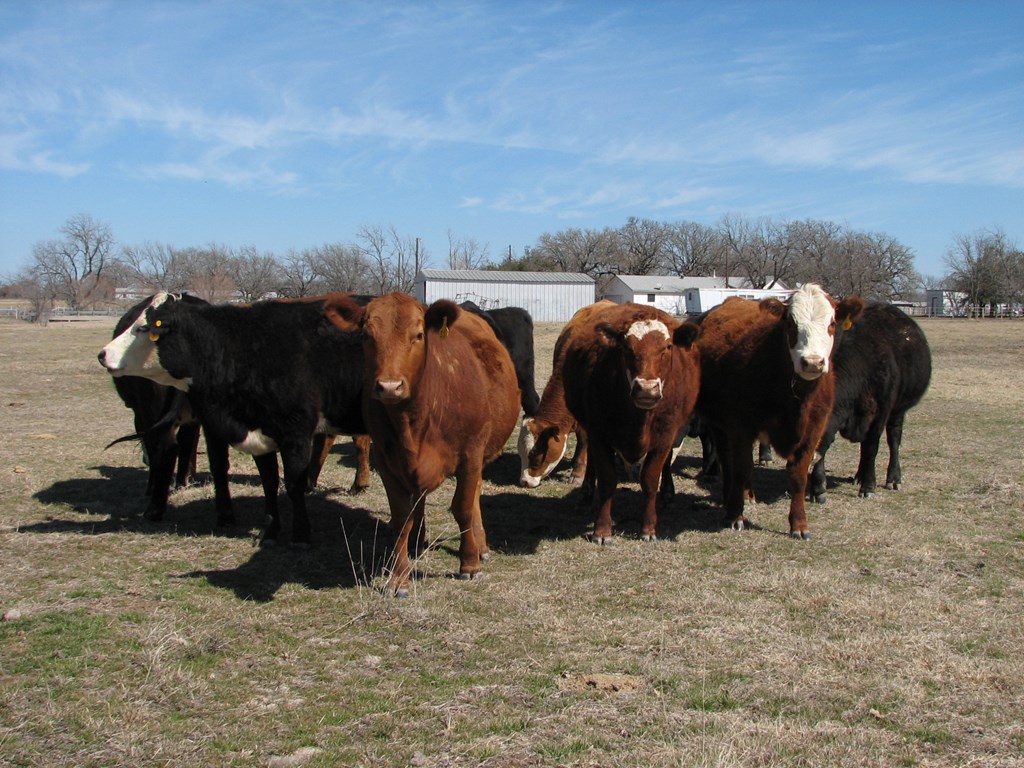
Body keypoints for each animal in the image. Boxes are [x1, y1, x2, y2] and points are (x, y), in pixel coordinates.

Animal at [97, 290, 372, 548]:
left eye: (143, 328)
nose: (102, 354)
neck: (244, 347)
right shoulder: (260, 434)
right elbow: (269, 482)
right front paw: (269, 532)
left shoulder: (295, 435)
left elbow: (293, 485)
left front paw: (300, 535)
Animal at [323, 290, 520, 598]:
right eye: (366, 335)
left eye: (417, 335)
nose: (389, 386)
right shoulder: (387, 462)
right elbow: (402, 518)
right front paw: (398, 578)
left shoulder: (470, 455)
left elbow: (463, 507)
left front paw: (469, 563)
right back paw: (418, 540)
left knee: (473, 495)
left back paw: (480, 545)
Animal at [557, 303, 700, 544]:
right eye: (626, 347)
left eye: (667, 346)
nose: (646, 389)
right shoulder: (599, 434)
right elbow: (607, 481)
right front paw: (602, 530)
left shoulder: (664, 438)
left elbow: (650, 480)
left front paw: (648, 528)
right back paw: (586, 492)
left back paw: (667, 494)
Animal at [696, 284, 864, 540]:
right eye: (791, 324)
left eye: (831, 323)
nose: (812, 362)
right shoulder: (741, 427)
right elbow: (741, 467)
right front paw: (735, 515)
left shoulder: (813, 431)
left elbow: (798, 476)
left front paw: (799, 525)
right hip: (720, 425)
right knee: (728, 460)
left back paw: (748, 495)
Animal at [811, 296, 933, 501]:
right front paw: (818, 488)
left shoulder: (880, 412)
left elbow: (871, 447)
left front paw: (868, 486)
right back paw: (859, 475)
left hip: (897, 411)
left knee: (894, 439)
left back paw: (893, 478)